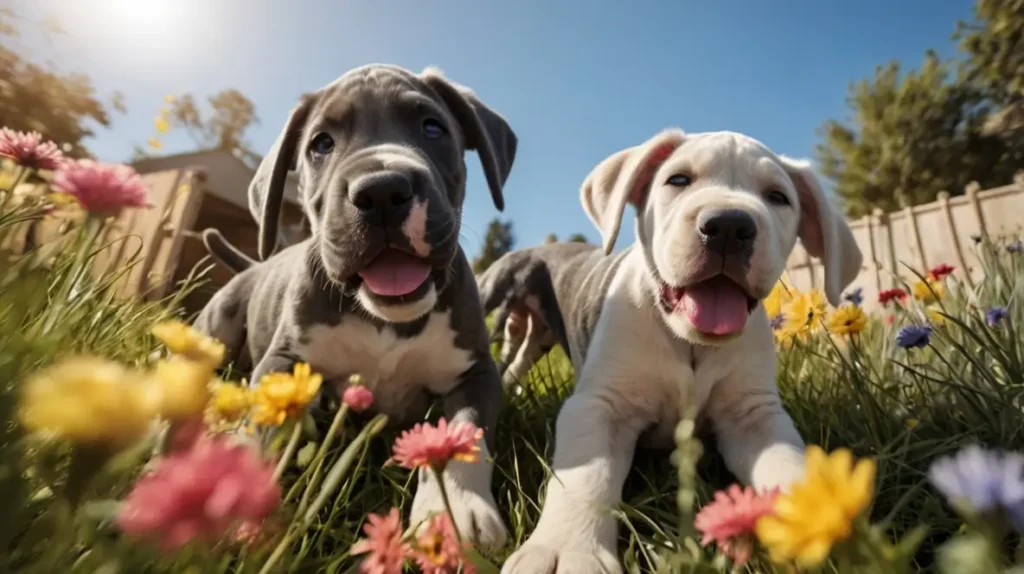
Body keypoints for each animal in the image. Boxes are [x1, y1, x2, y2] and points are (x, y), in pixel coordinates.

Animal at [194, 64, 520, 548]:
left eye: (433, 127)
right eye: (321, 143)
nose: (383, 189)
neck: (384, 316)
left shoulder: (476, 371)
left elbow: (464, 431)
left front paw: (455, 512)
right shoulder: (283, 361)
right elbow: (262, 419)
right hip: (217, 328)